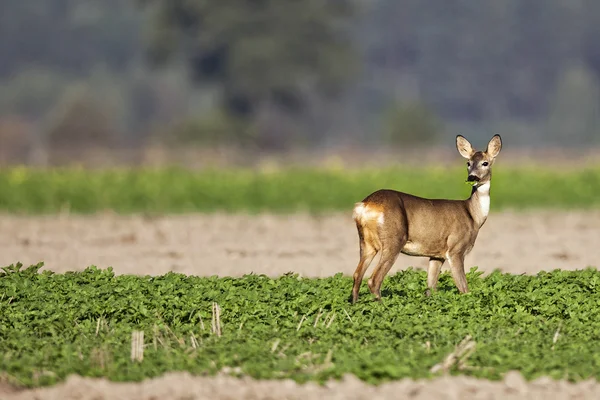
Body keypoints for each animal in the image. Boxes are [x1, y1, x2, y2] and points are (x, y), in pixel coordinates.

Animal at [352, 134, 502, 304]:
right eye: (468, 163)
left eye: (485, 163)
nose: (472, 177)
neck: (473, 215)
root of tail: (365, 205)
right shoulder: (456, 249)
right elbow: (464, 288)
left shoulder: (436, 255)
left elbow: (430, 288)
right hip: (393, 239)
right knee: (374, 279)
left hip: (366, 242)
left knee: (357, 275)